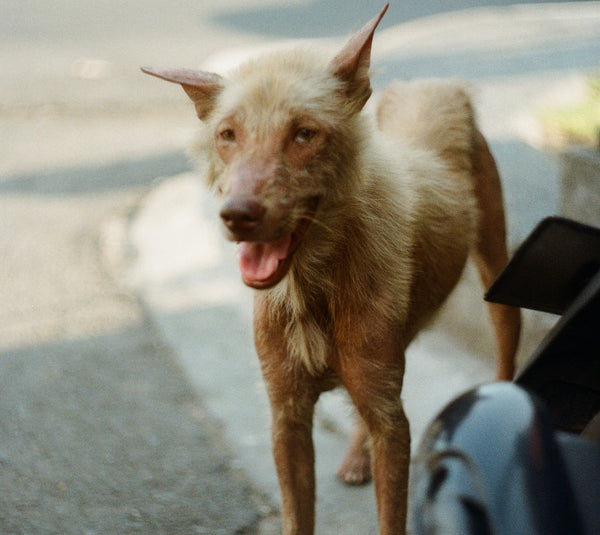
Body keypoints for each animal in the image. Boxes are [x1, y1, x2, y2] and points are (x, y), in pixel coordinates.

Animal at [142, 5, 520, 535]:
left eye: (304, 133)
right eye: (227, 134)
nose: (236, 215)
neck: (312, 287)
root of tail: (436, 86)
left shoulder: (392, 426)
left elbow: (391, 515)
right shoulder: (288, 418)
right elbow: (297, 514)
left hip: (496, 272)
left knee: (504, 350)